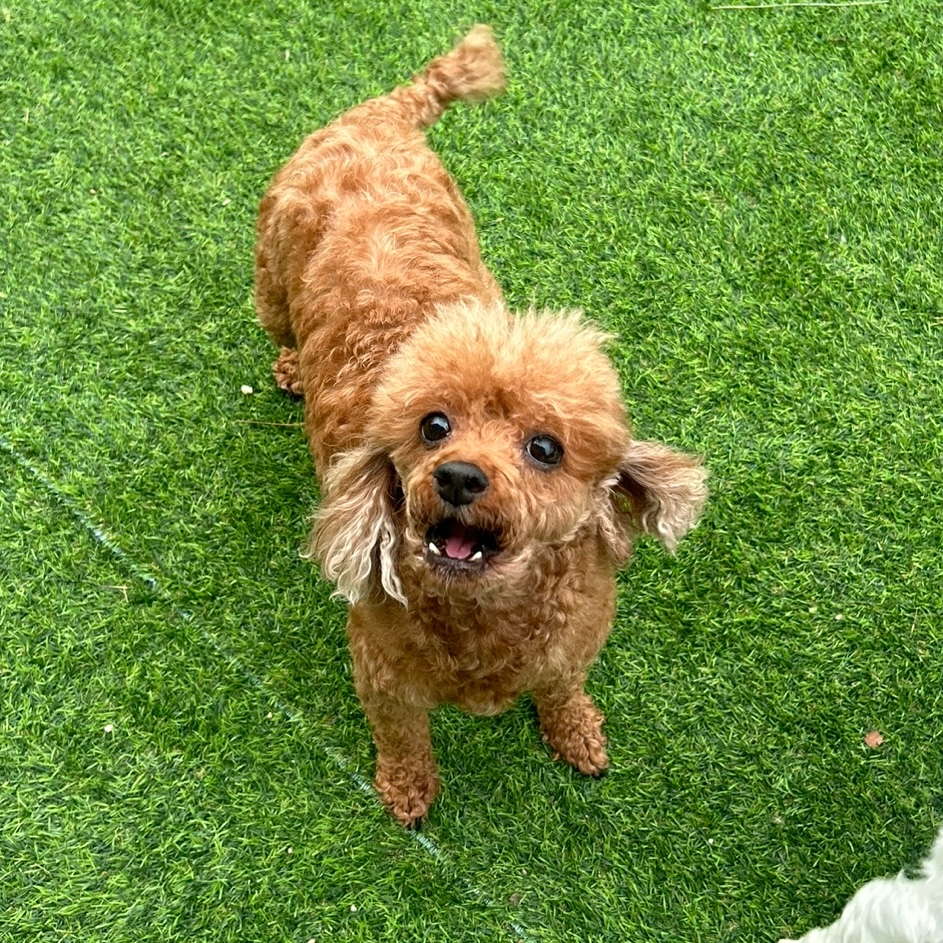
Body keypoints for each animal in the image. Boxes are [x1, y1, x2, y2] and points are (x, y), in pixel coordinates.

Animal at [254, 26, 707, 826]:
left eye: (544, 447)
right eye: (433, 425)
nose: (460, 477)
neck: (481, 613)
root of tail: (381, 114)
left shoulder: (570, 647)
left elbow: (561, 689)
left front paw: (576, 733)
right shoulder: (381, 676)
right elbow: (403, 740)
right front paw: (407, 794)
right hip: (273, 279)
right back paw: (288, 367)